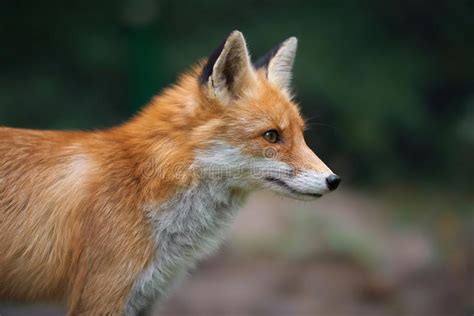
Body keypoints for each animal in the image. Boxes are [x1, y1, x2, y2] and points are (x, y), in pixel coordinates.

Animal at [0, 30, 340, 314]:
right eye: (271, 136)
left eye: (301, 135)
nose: (334, 180)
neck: (142, 184)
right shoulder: (101, 297)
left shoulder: (145, 298)